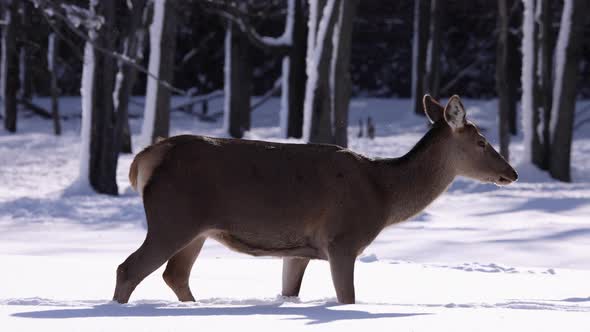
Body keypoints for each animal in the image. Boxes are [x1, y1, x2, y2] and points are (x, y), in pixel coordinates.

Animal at [114, 94, 520, 304]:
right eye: (481, 141)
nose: (512, 172)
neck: (383, 194)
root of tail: (144, 159)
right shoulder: (342, 240)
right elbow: (348, 298)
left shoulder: (299, 249)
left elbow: (288, 292)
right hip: (172, 217)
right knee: (129, 269)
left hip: (197, 230)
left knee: (174, 274)